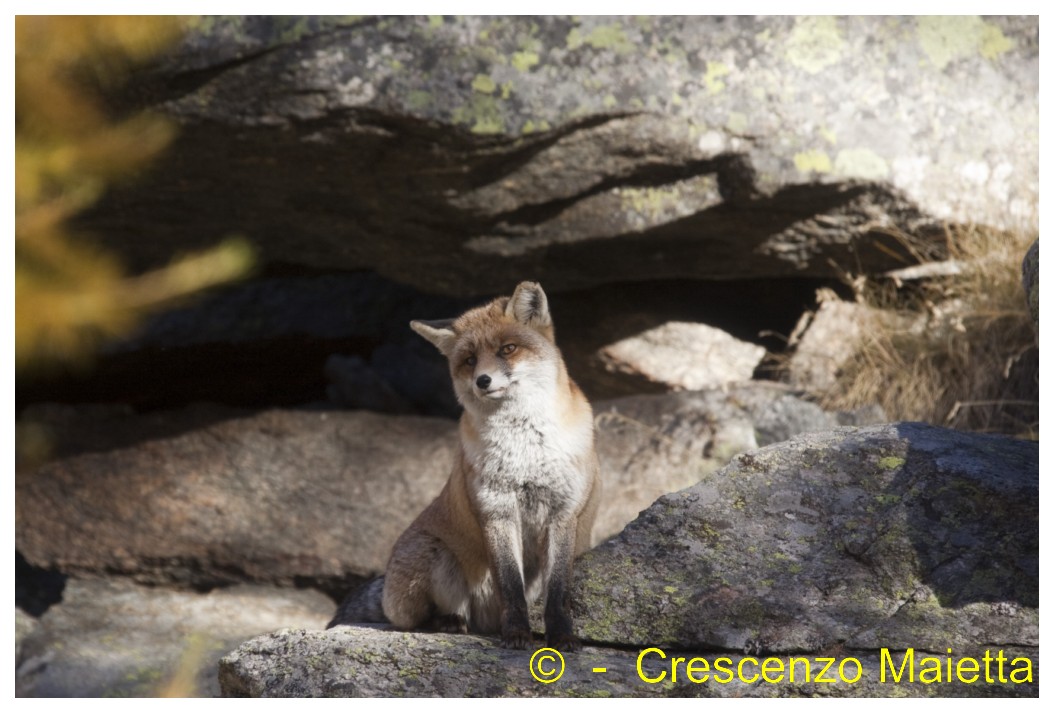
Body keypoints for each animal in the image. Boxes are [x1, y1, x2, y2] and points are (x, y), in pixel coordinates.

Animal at [333, 280, 607, 649]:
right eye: (470, 360)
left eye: (508, 349)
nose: (483, 381)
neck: (525, 451)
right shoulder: (496, 508)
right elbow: (510, 585)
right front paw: (517, 633)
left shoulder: (563, 513)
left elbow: (558, 591)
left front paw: (561, 636)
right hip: (430, 555)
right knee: (413, 618)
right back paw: (449, 622)